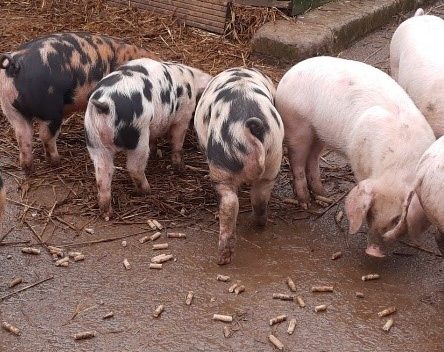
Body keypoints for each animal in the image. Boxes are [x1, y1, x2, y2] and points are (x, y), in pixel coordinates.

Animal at [0, 32, 160, 173]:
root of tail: (15, 65)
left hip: (11, 109)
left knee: (22, 136)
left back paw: (28, 167)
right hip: (49, 109)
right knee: (46, 136)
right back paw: (56, 161)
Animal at [194, 68, 284, 264]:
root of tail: (250, 130)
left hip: (221, 166)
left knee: (229, 203)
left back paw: (222, 259)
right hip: (273, 159)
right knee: (259, 197)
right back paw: (257, 224)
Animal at [276, 56, 436, 258]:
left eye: (396, 218)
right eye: (371, 213)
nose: (373, 251)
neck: (397, 166)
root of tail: (287, 76)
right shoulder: (358, 161)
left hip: (318, 133)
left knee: (311, 159)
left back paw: (324, 195)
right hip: (297, 125)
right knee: (296, 161)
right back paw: (305, 203)